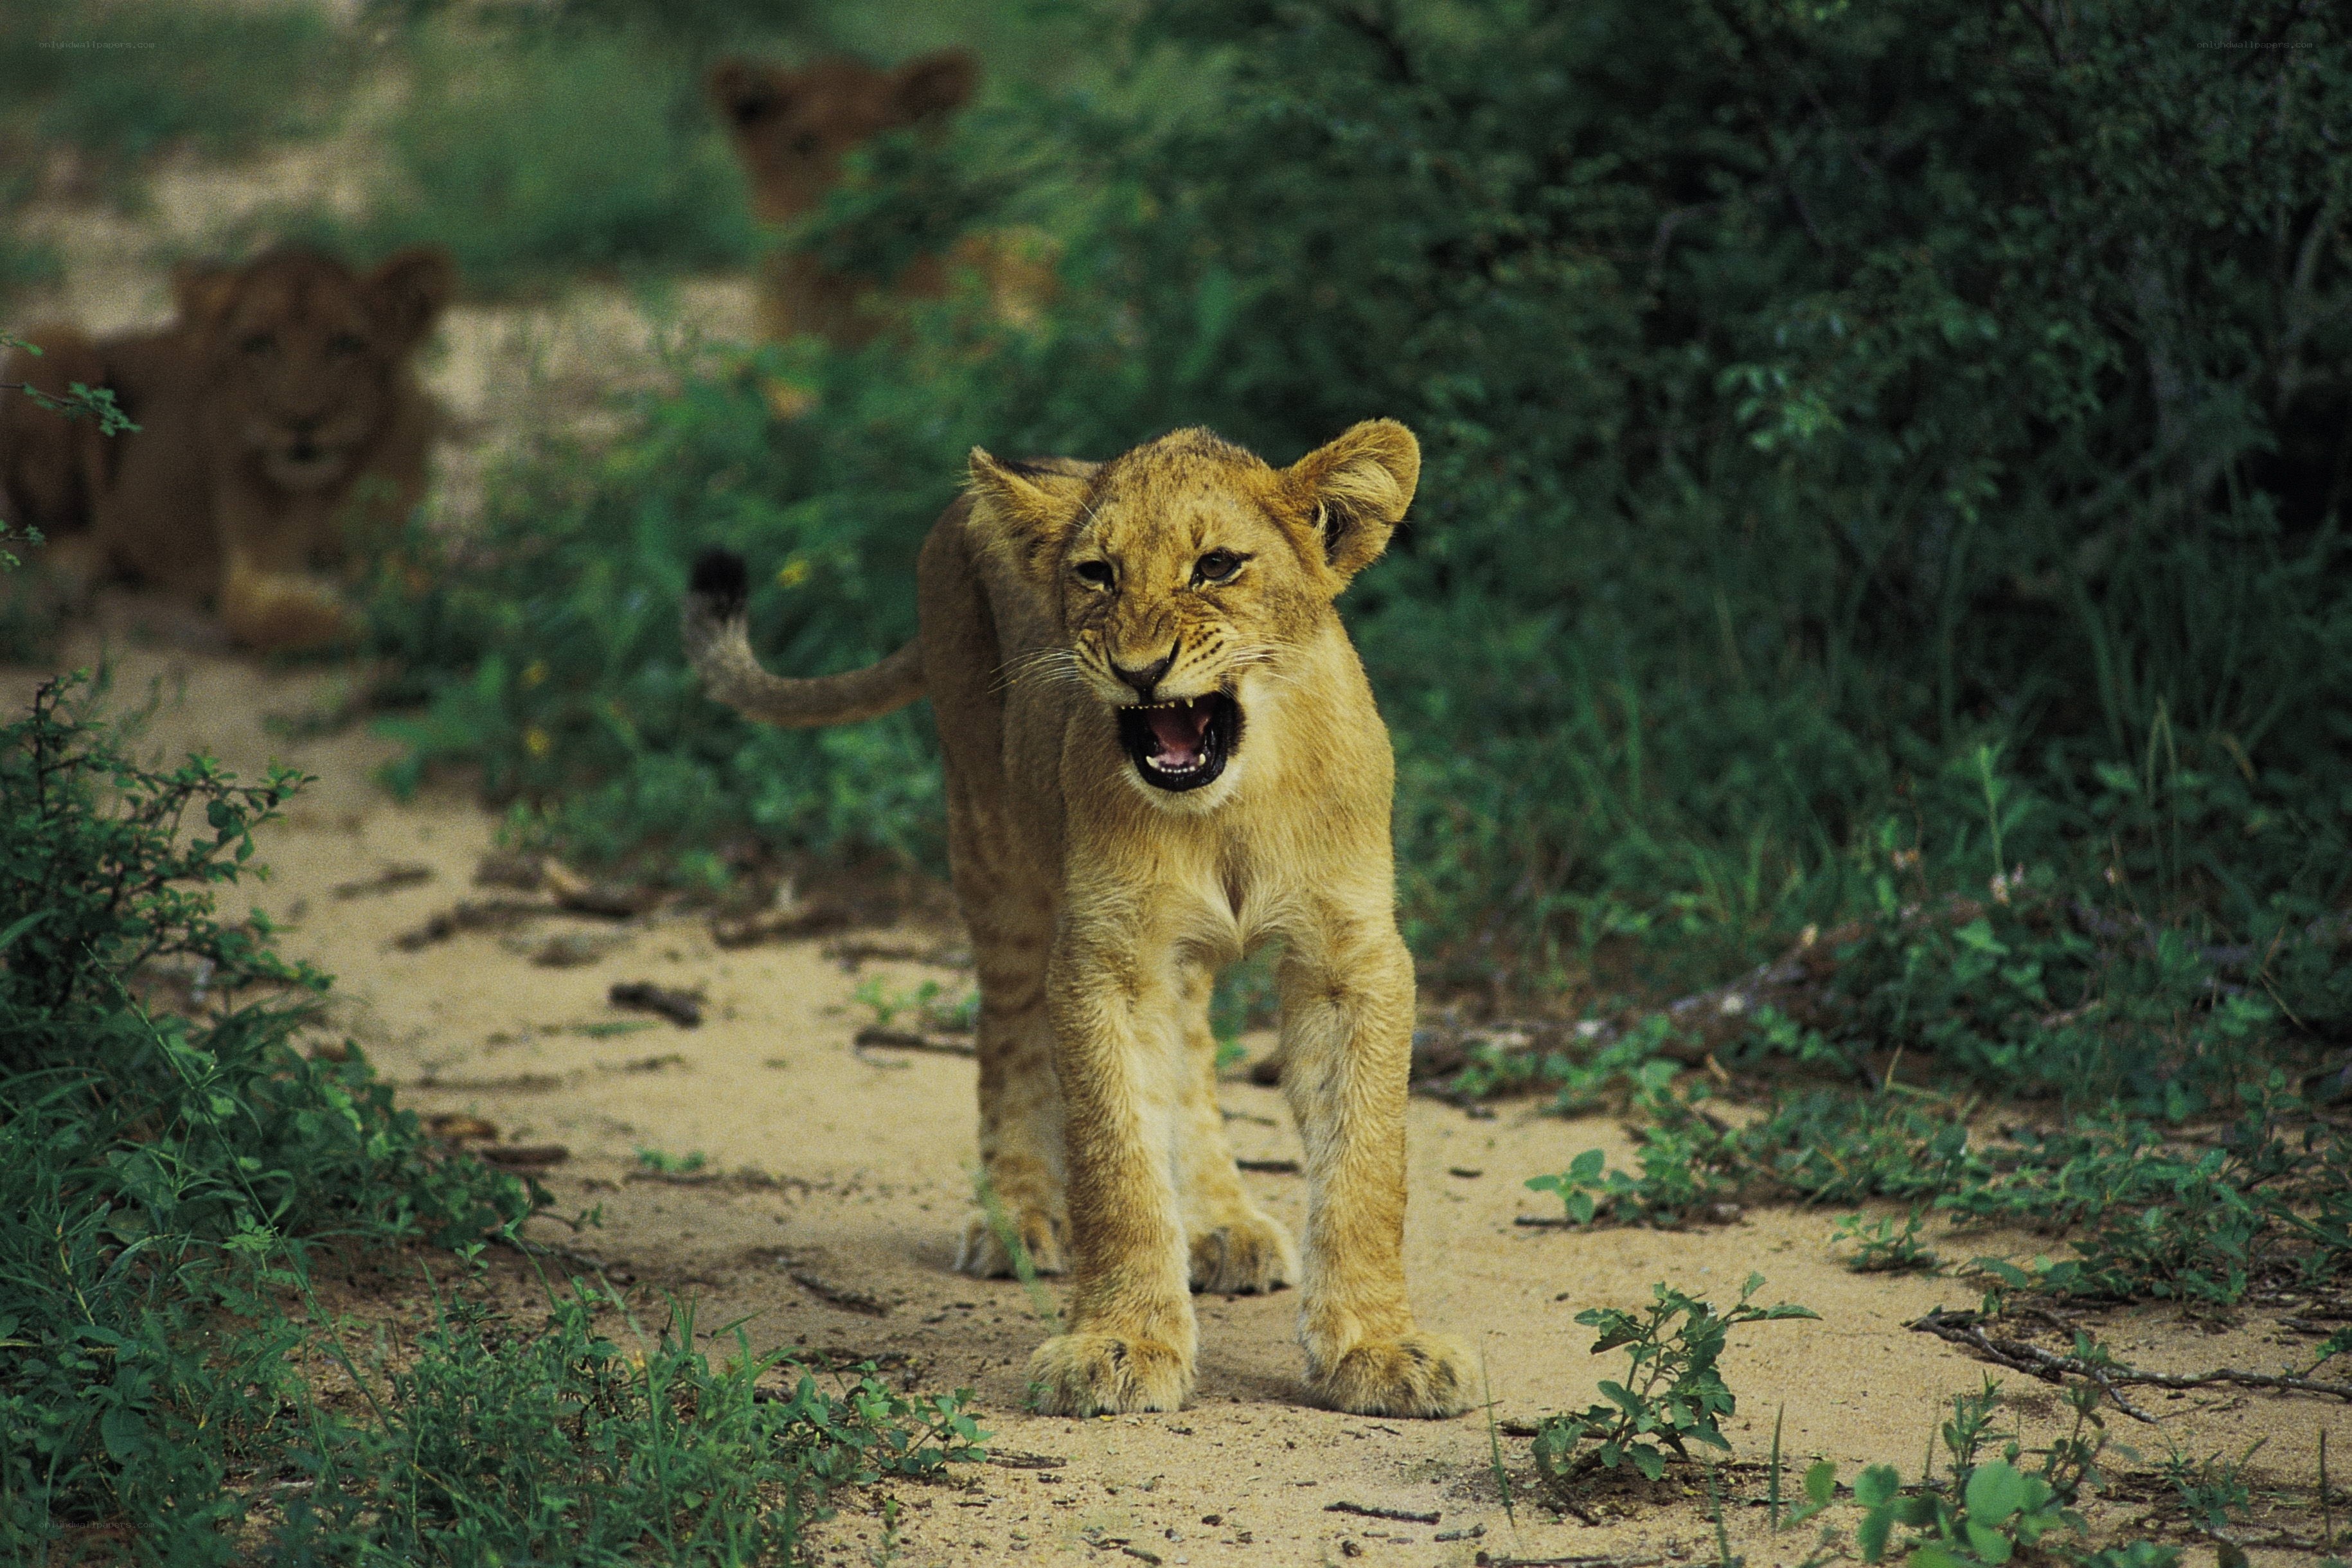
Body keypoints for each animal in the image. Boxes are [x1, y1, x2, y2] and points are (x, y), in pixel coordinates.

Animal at [0, 244, 454, 651]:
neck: (320, 488)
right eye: (259, 344)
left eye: (345, 344)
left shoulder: (394, 535)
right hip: (56, 341)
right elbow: (275, 618)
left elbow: (413, 580)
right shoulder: (253, 571)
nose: (301, 420)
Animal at [682, 420, 1473, 1419]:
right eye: (1097, 574)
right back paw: (1016, 1217)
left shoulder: (1351, 958)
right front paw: (1122, 1343)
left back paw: (1222, 1224)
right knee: (1006, 1028)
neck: (1228, 809)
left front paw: (1376, 1348)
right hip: (991, 837)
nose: (1139, 672)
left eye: (1217, 566)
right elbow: (1113, 1157)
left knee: (1190, 1052)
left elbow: (1367, 1166)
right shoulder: (1106, 956)